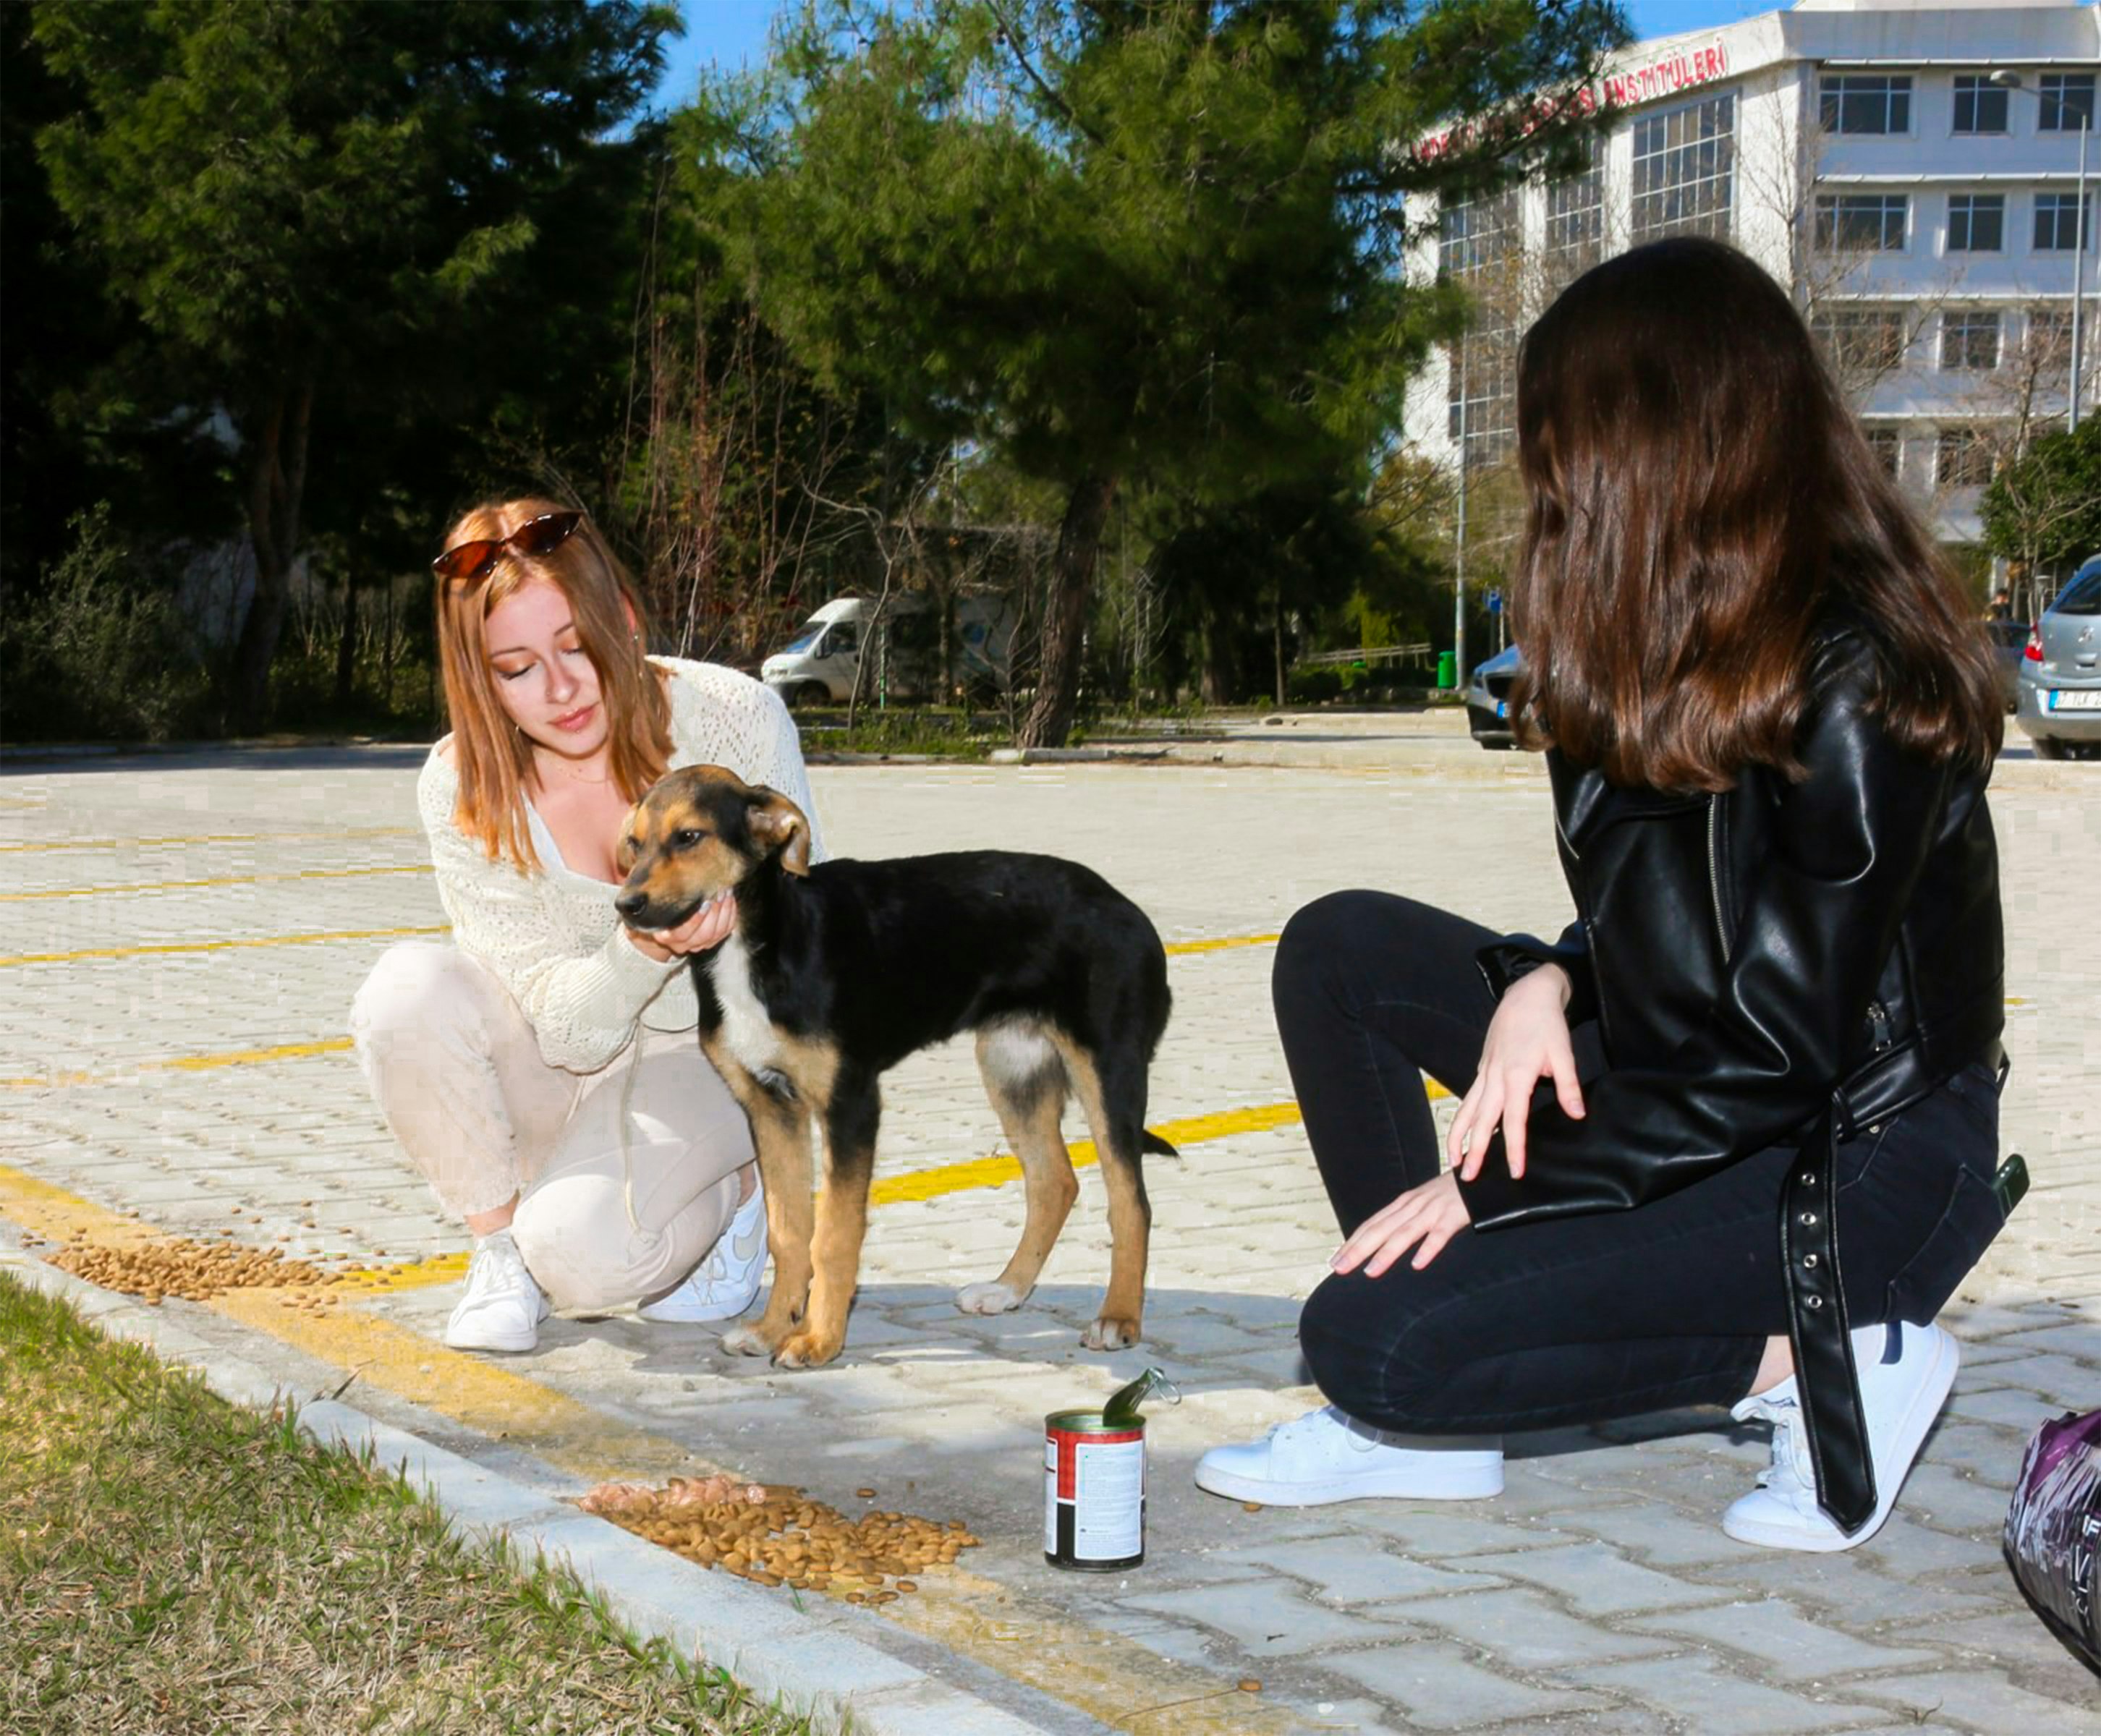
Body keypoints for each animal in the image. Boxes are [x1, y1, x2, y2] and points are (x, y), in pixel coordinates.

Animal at [613, 765, 1176, 1361]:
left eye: (689, 837)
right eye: (636, 843)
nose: (626, 905)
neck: (760, 942)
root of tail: (1127, 908)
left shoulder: (851, 1102)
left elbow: (833, 1235)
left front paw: (819, 1339)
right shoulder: (771, 1107)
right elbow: (789, 1230)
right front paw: (771, 1326)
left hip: (1109, 1070)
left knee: (1131, 1202)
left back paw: (1118, 1317)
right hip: (1012, 1068)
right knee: (1054, 1183)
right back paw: (1006, 1290)